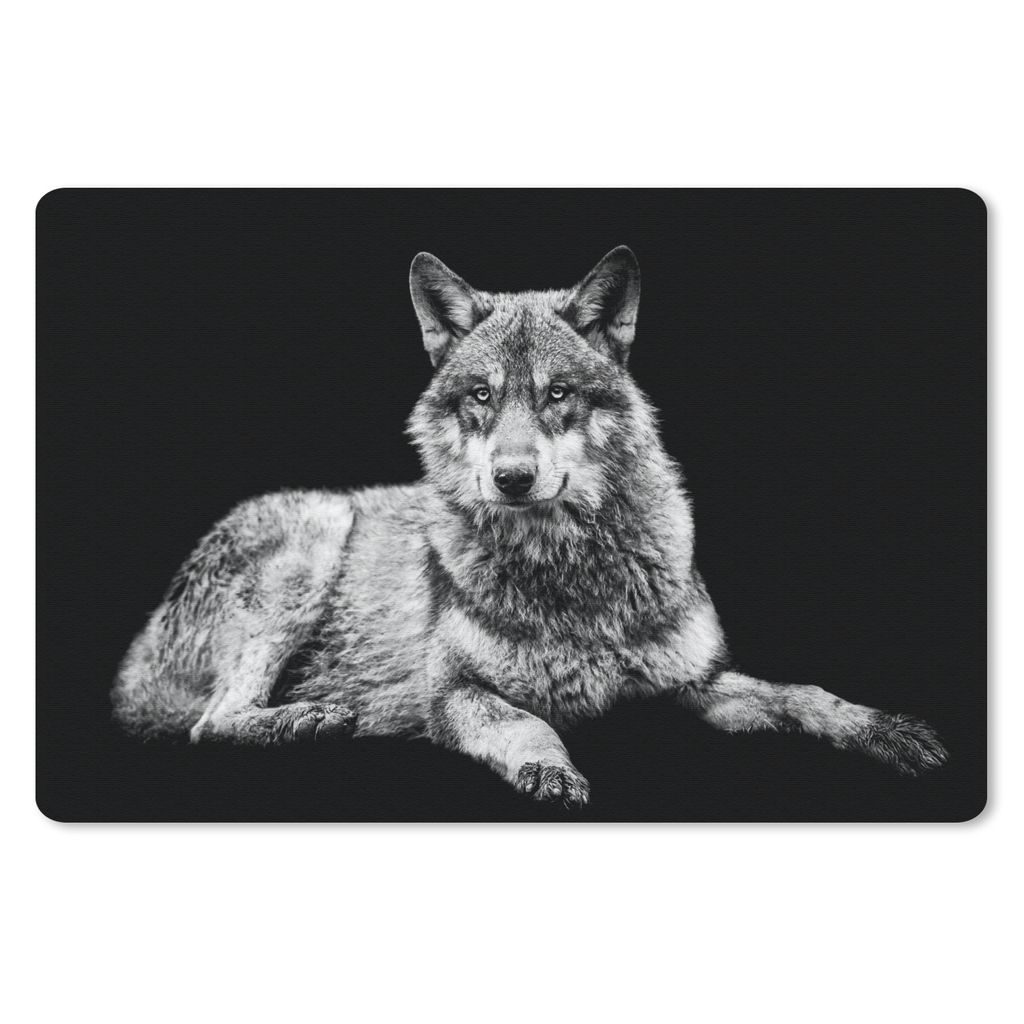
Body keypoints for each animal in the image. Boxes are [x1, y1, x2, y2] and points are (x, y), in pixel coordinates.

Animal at [112, 246, 948, 806]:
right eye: (482, 396)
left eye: (557, 395)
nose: (511, 478)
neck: (571, 574)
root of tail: (137, 655)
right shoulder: (453, 694)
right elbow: (526, 724)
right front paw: (550, 770)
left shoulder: (697, 683)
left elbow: (806, 694)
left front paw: (888, 730)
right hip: (315, 537)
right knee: (210, 723)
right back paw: (311, 718)